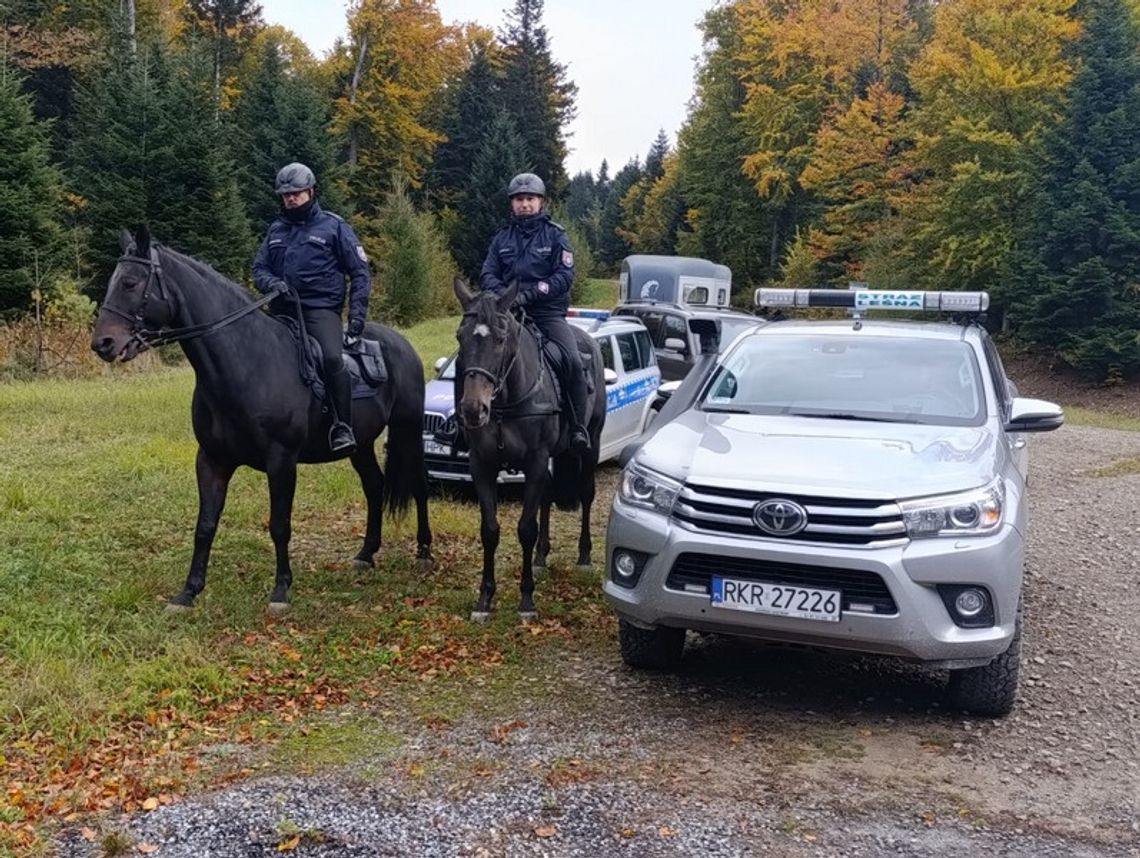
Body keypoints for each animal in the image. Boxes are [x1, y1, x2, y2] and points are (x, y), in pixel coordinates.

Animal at [91, 227, 430, 610]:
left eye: (130, 282)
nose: (102, 343)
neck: (247, 363)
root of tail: (402, 344)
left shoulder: (281, 461)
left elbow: (279, 524)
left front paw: (281, 590)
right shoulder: (211, 460)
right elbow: (205, 525)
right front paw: (188, 592)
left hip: (407, 430)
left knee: (419, 484)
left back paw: (424, 550)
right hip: (362, 445)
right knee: (374, 485)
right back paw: (366, 553)